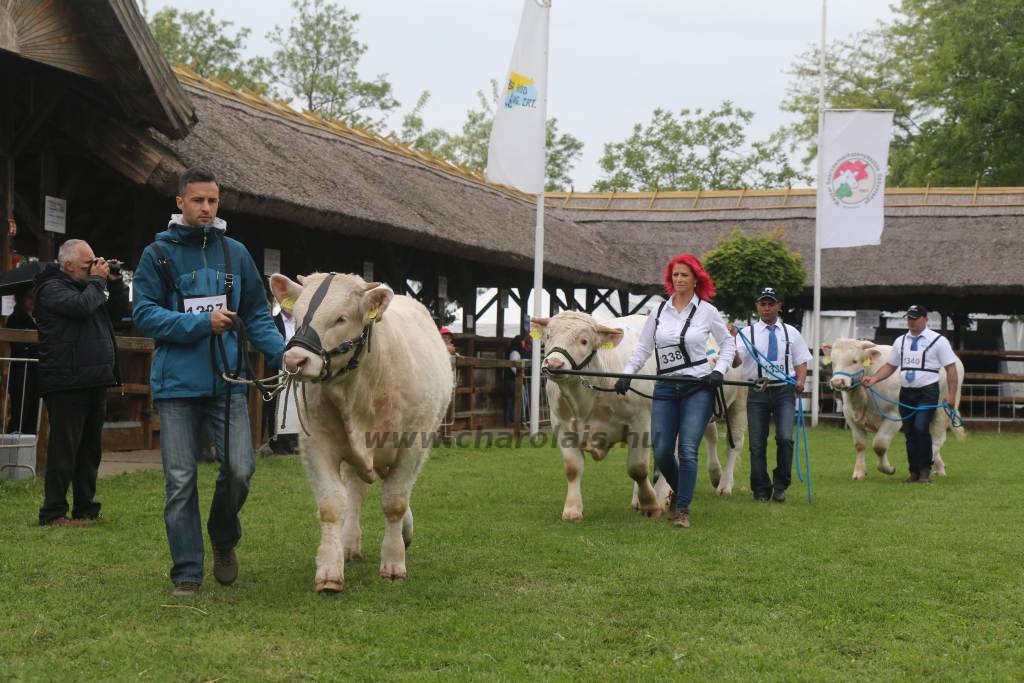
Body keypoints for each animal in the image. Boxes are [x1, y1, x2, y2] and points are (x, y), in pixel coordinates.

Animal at [272, 272, 452, 593]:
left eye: (341, 318)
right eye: (298, 315)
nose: (294, 361)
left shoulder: (413, 445)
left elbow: (395, 501)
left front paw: (393, 562)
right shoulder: (316, 444)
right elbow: (332, 504)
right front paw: (329, 570)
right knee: (355, 493)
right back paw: (349, 544)